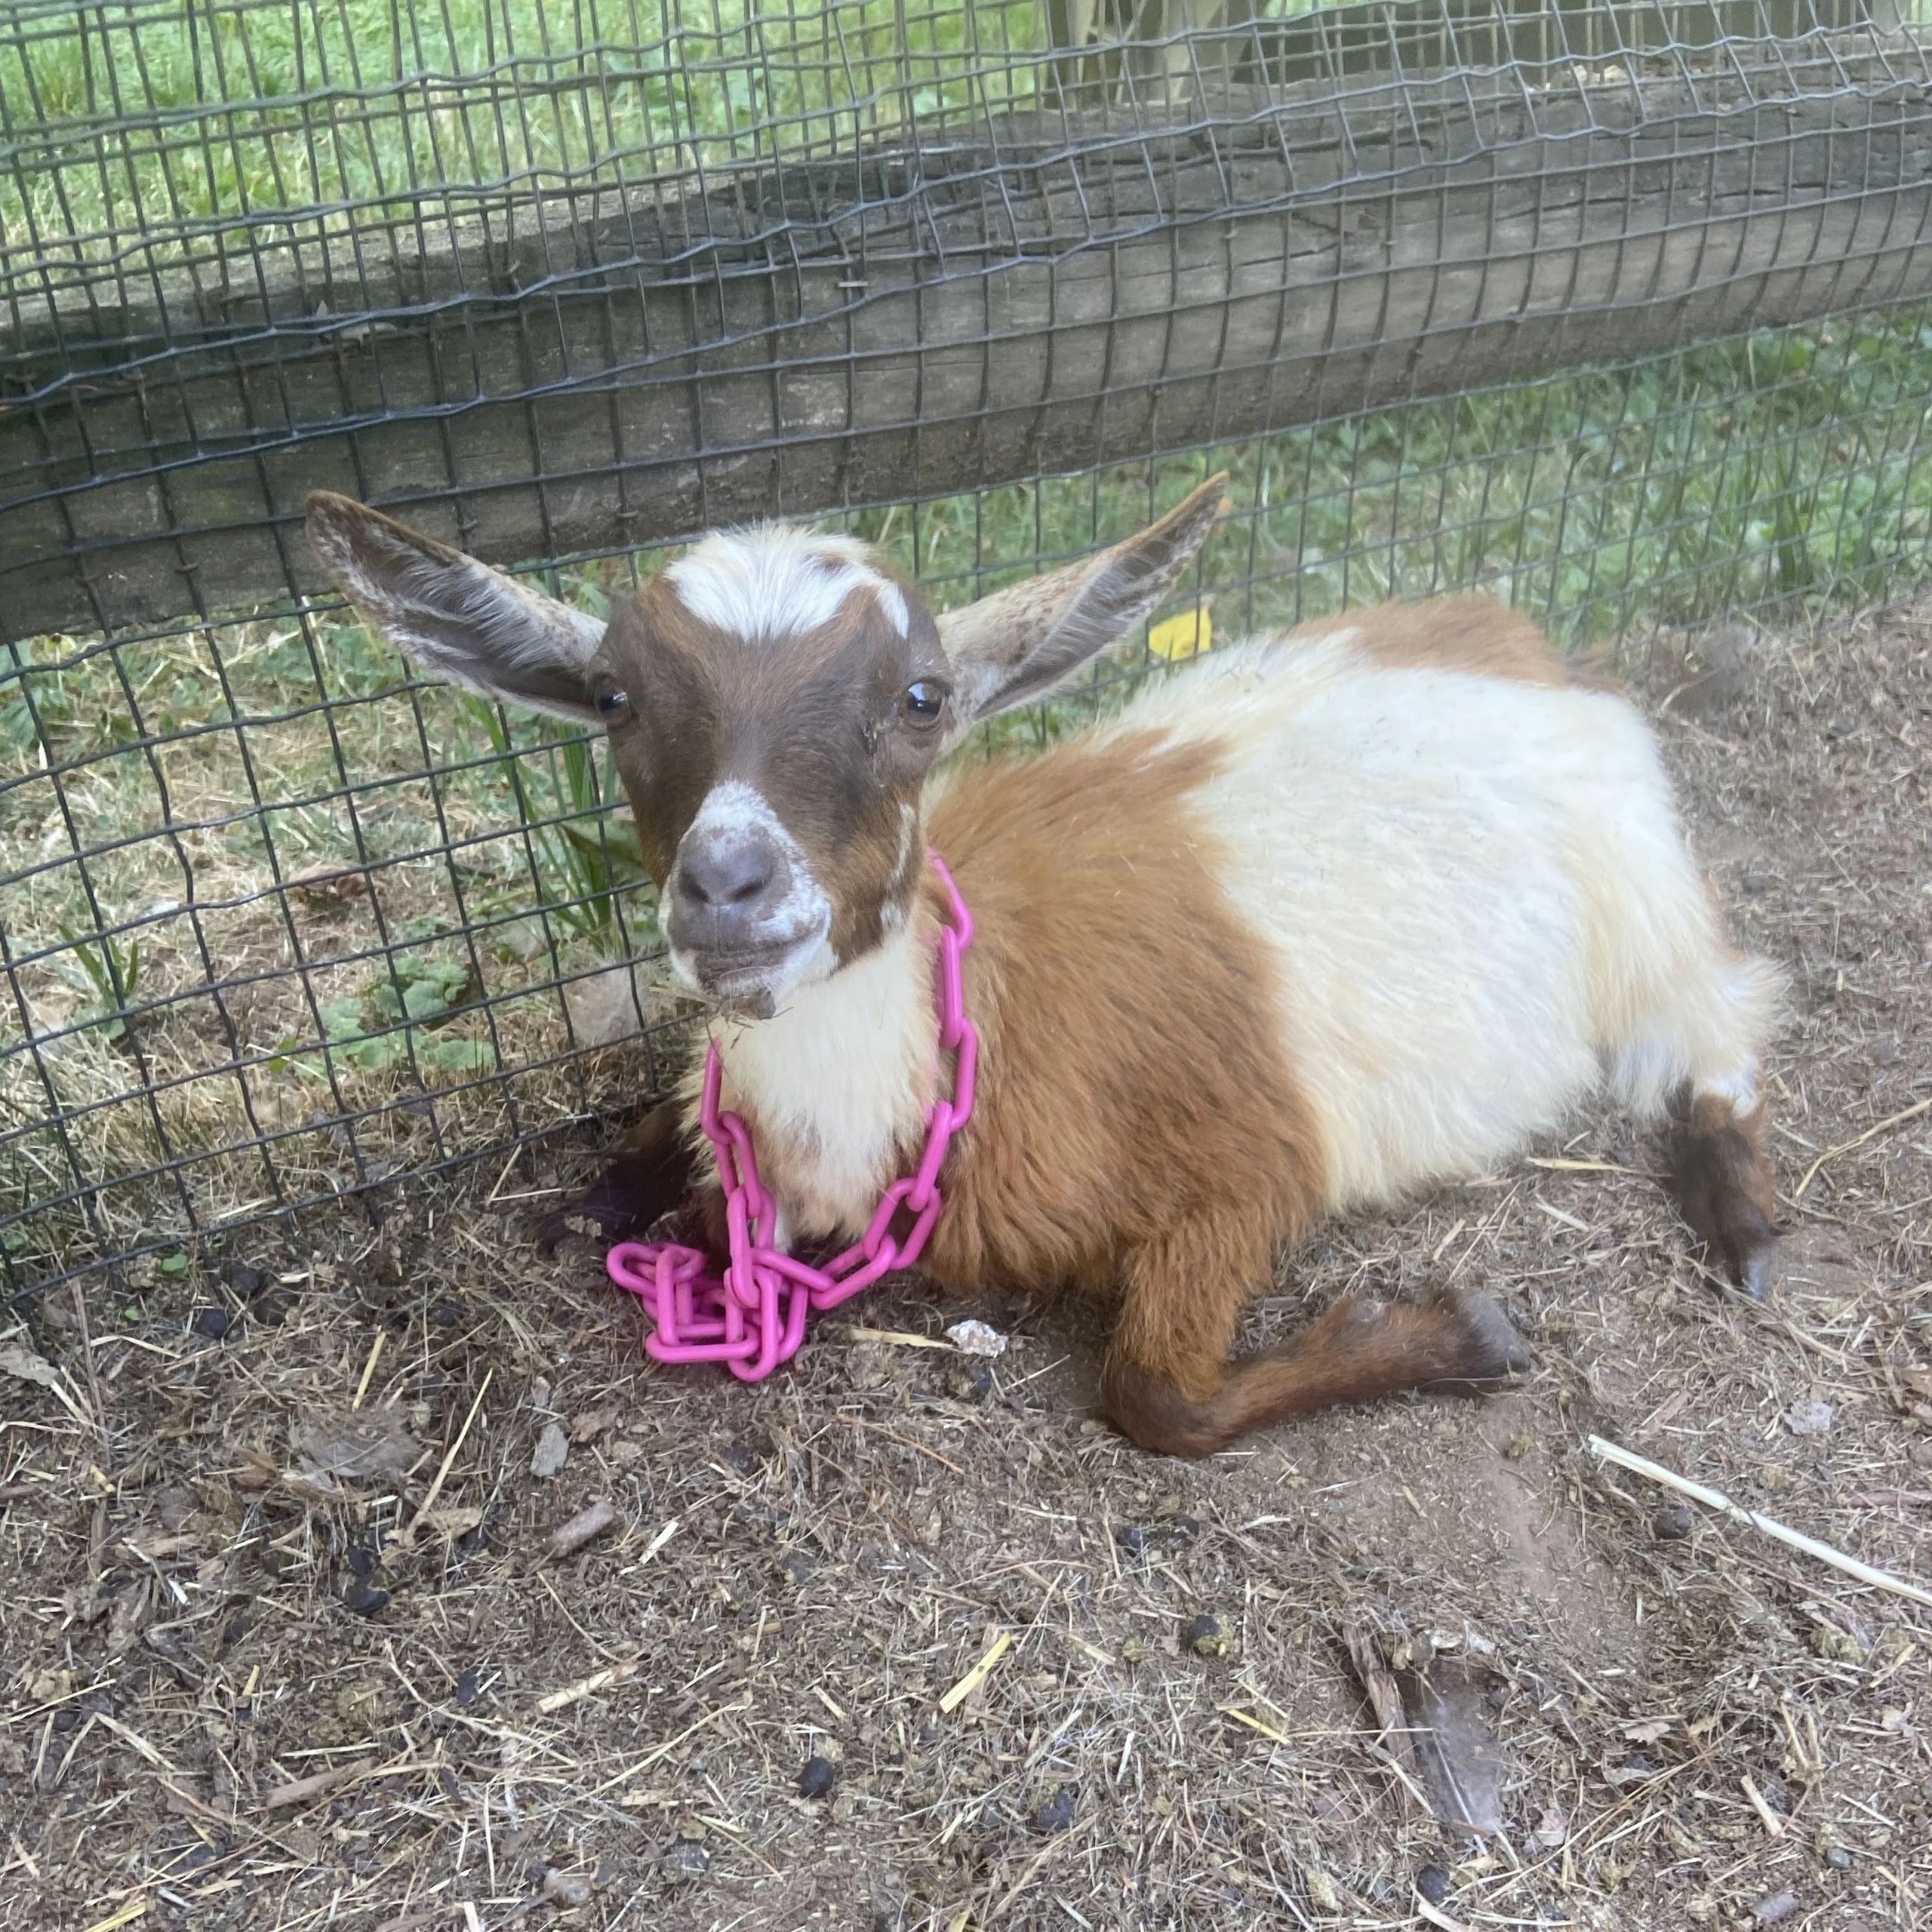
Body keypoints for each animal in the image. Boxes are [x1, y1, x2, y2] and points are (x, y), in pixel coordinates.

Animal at [306, 478, 1781, 1456]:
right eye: (613, 698)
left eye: (921, 700)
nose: (727, 886)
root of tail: (1510, 637)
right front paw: (610, 1184)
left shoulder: (1246, 1168)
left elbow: (1160, 1398)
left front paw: (1455, 1335)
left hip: (1649, 909)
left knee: (1724, 1029)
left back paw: (1746, 1225)